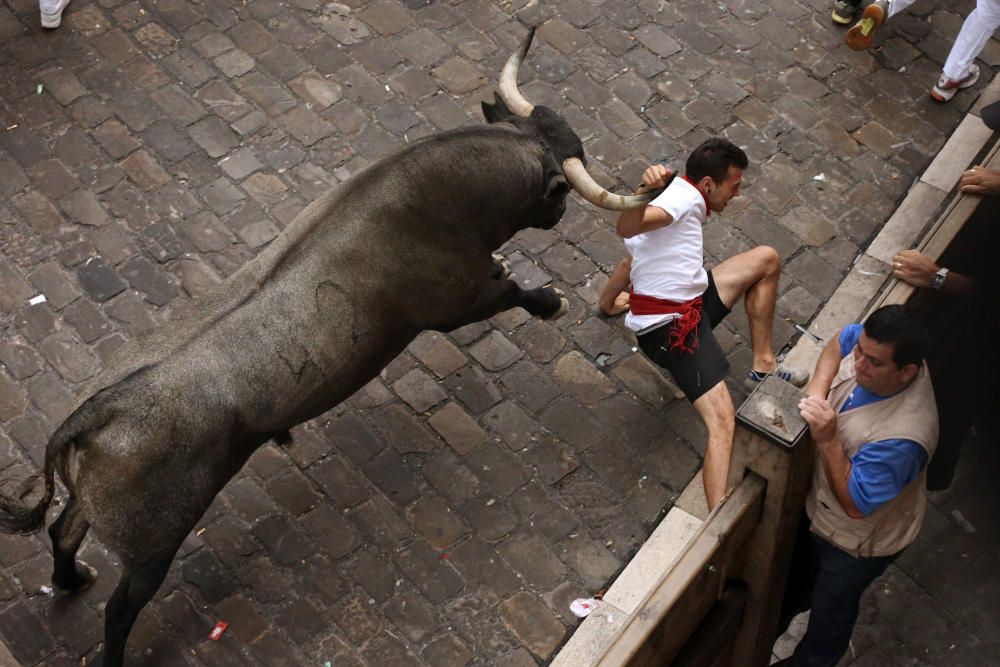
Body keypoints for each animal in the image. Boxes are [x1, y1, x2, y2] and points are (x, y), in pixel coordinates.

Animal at [0, 28, 652, 664]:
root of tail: (94, 413)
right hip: (152, 546)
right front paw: (550, 301)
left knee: (63, 532)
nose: (561, 213)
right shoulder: (460, 302)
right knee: (119, 611)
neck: (434, 196)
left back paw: (71, 579)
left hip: (101, 512)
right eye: (560, 192)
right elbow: (512, 292)